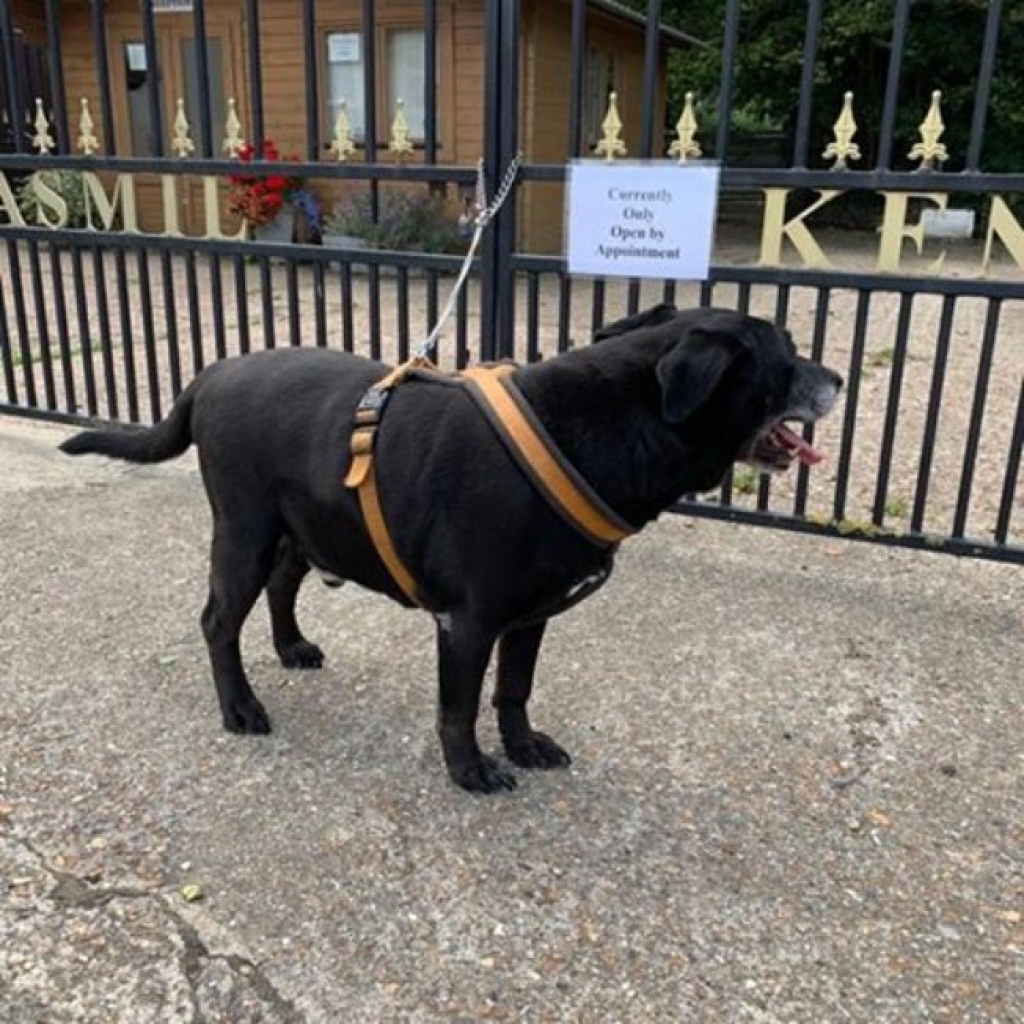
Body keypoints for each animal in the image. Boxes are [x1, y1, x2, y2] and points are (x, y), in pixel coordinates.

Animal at [61, 301, 839, 790]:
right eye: (788, 357)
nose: (836, 377)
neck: (595, 429)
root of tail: (212, 372)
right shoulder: (468, 623)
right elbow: (459, 708)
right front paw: (470, 770)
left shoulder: (530, 618)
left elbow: (515, 689)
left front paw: (523, 746)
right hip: (244, 533)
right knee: (217, 622)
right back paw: (240, 708)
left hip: (306, 528)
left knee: (281, 587)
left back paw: (292, 647)